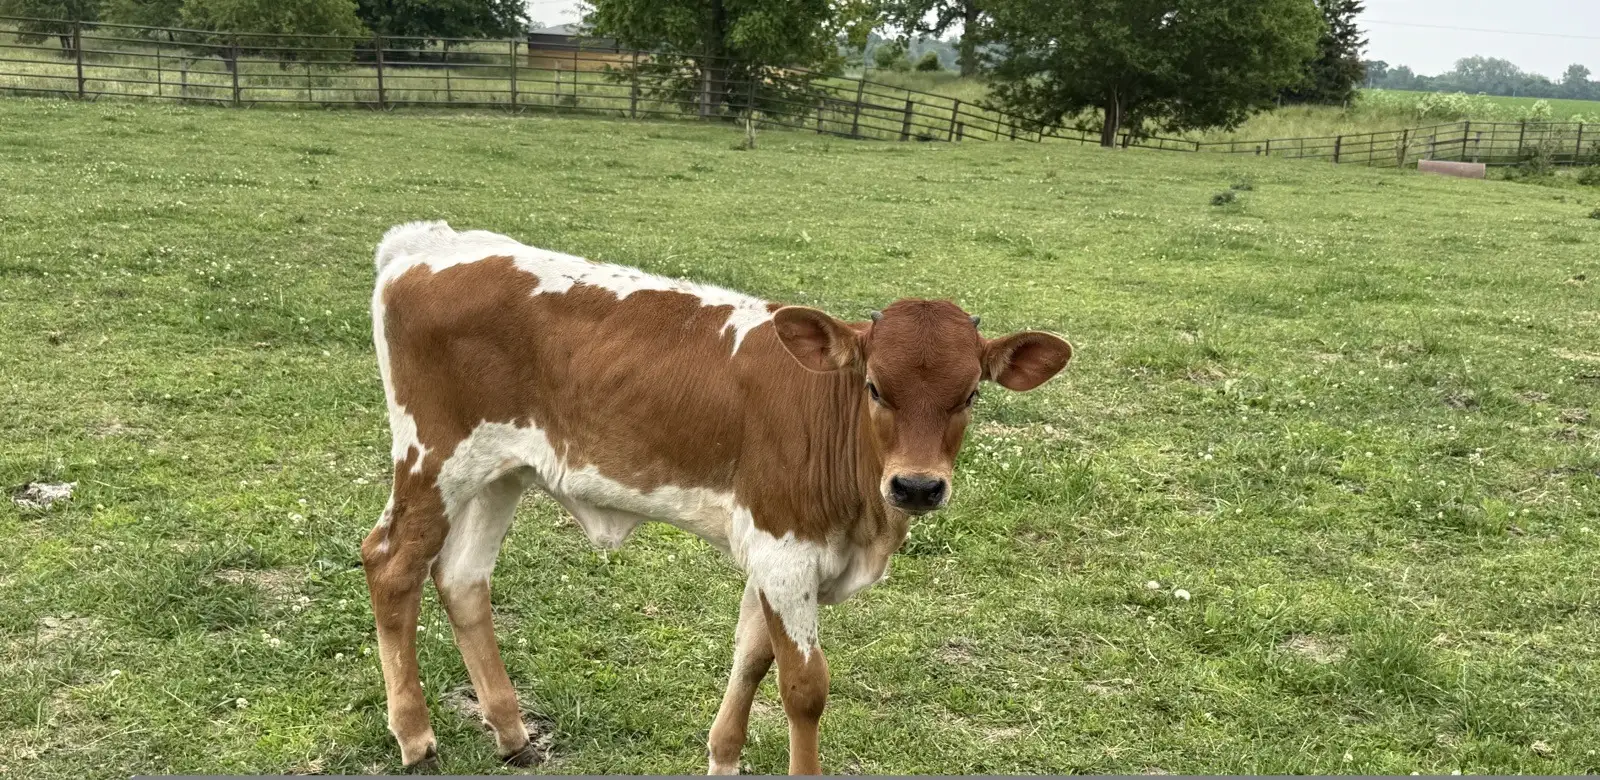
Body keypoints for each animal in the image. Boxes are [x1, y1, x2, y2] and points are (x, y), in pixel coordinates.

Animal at [362, 221, 1073, 774]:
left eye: (971, 395)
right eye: (874, 386)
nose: (917, 485)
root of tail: (425, 243)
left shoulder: (772, 552)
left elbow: (752, 655)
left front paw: (723, 756)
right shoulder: (786, 548)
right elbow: (803, 686)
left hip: (499, 471)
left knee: (462, 578)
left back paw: (511, 734)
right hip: (434, 457)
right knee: (391, 564)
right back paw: (416, 739)